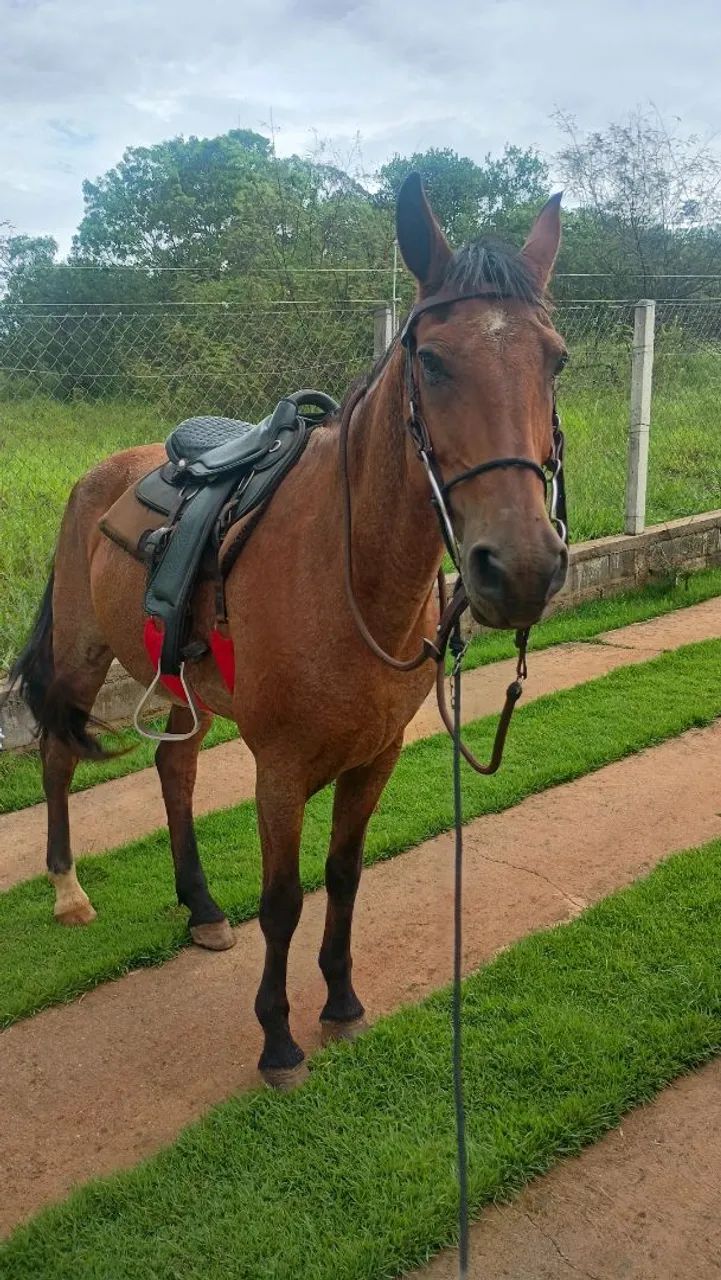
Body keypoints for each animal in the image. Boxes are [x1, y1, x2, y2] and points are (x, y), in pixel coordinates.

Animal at [8, 175, 568, 1089]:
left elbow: (343, 878)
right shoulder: (278, 770)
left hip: (180, 685)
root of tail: (104, 473)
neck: (354, 580)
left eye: (554, 360)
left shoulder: (374, 758)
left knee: (173, 771)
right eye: (432, 360)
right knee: (59, 758)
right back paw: (67, 889)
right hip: (83, 658)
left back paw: (199, 905)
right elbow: (283, 901)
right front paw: (277, 1037)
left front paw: (339, 1000)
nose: (518, 568)